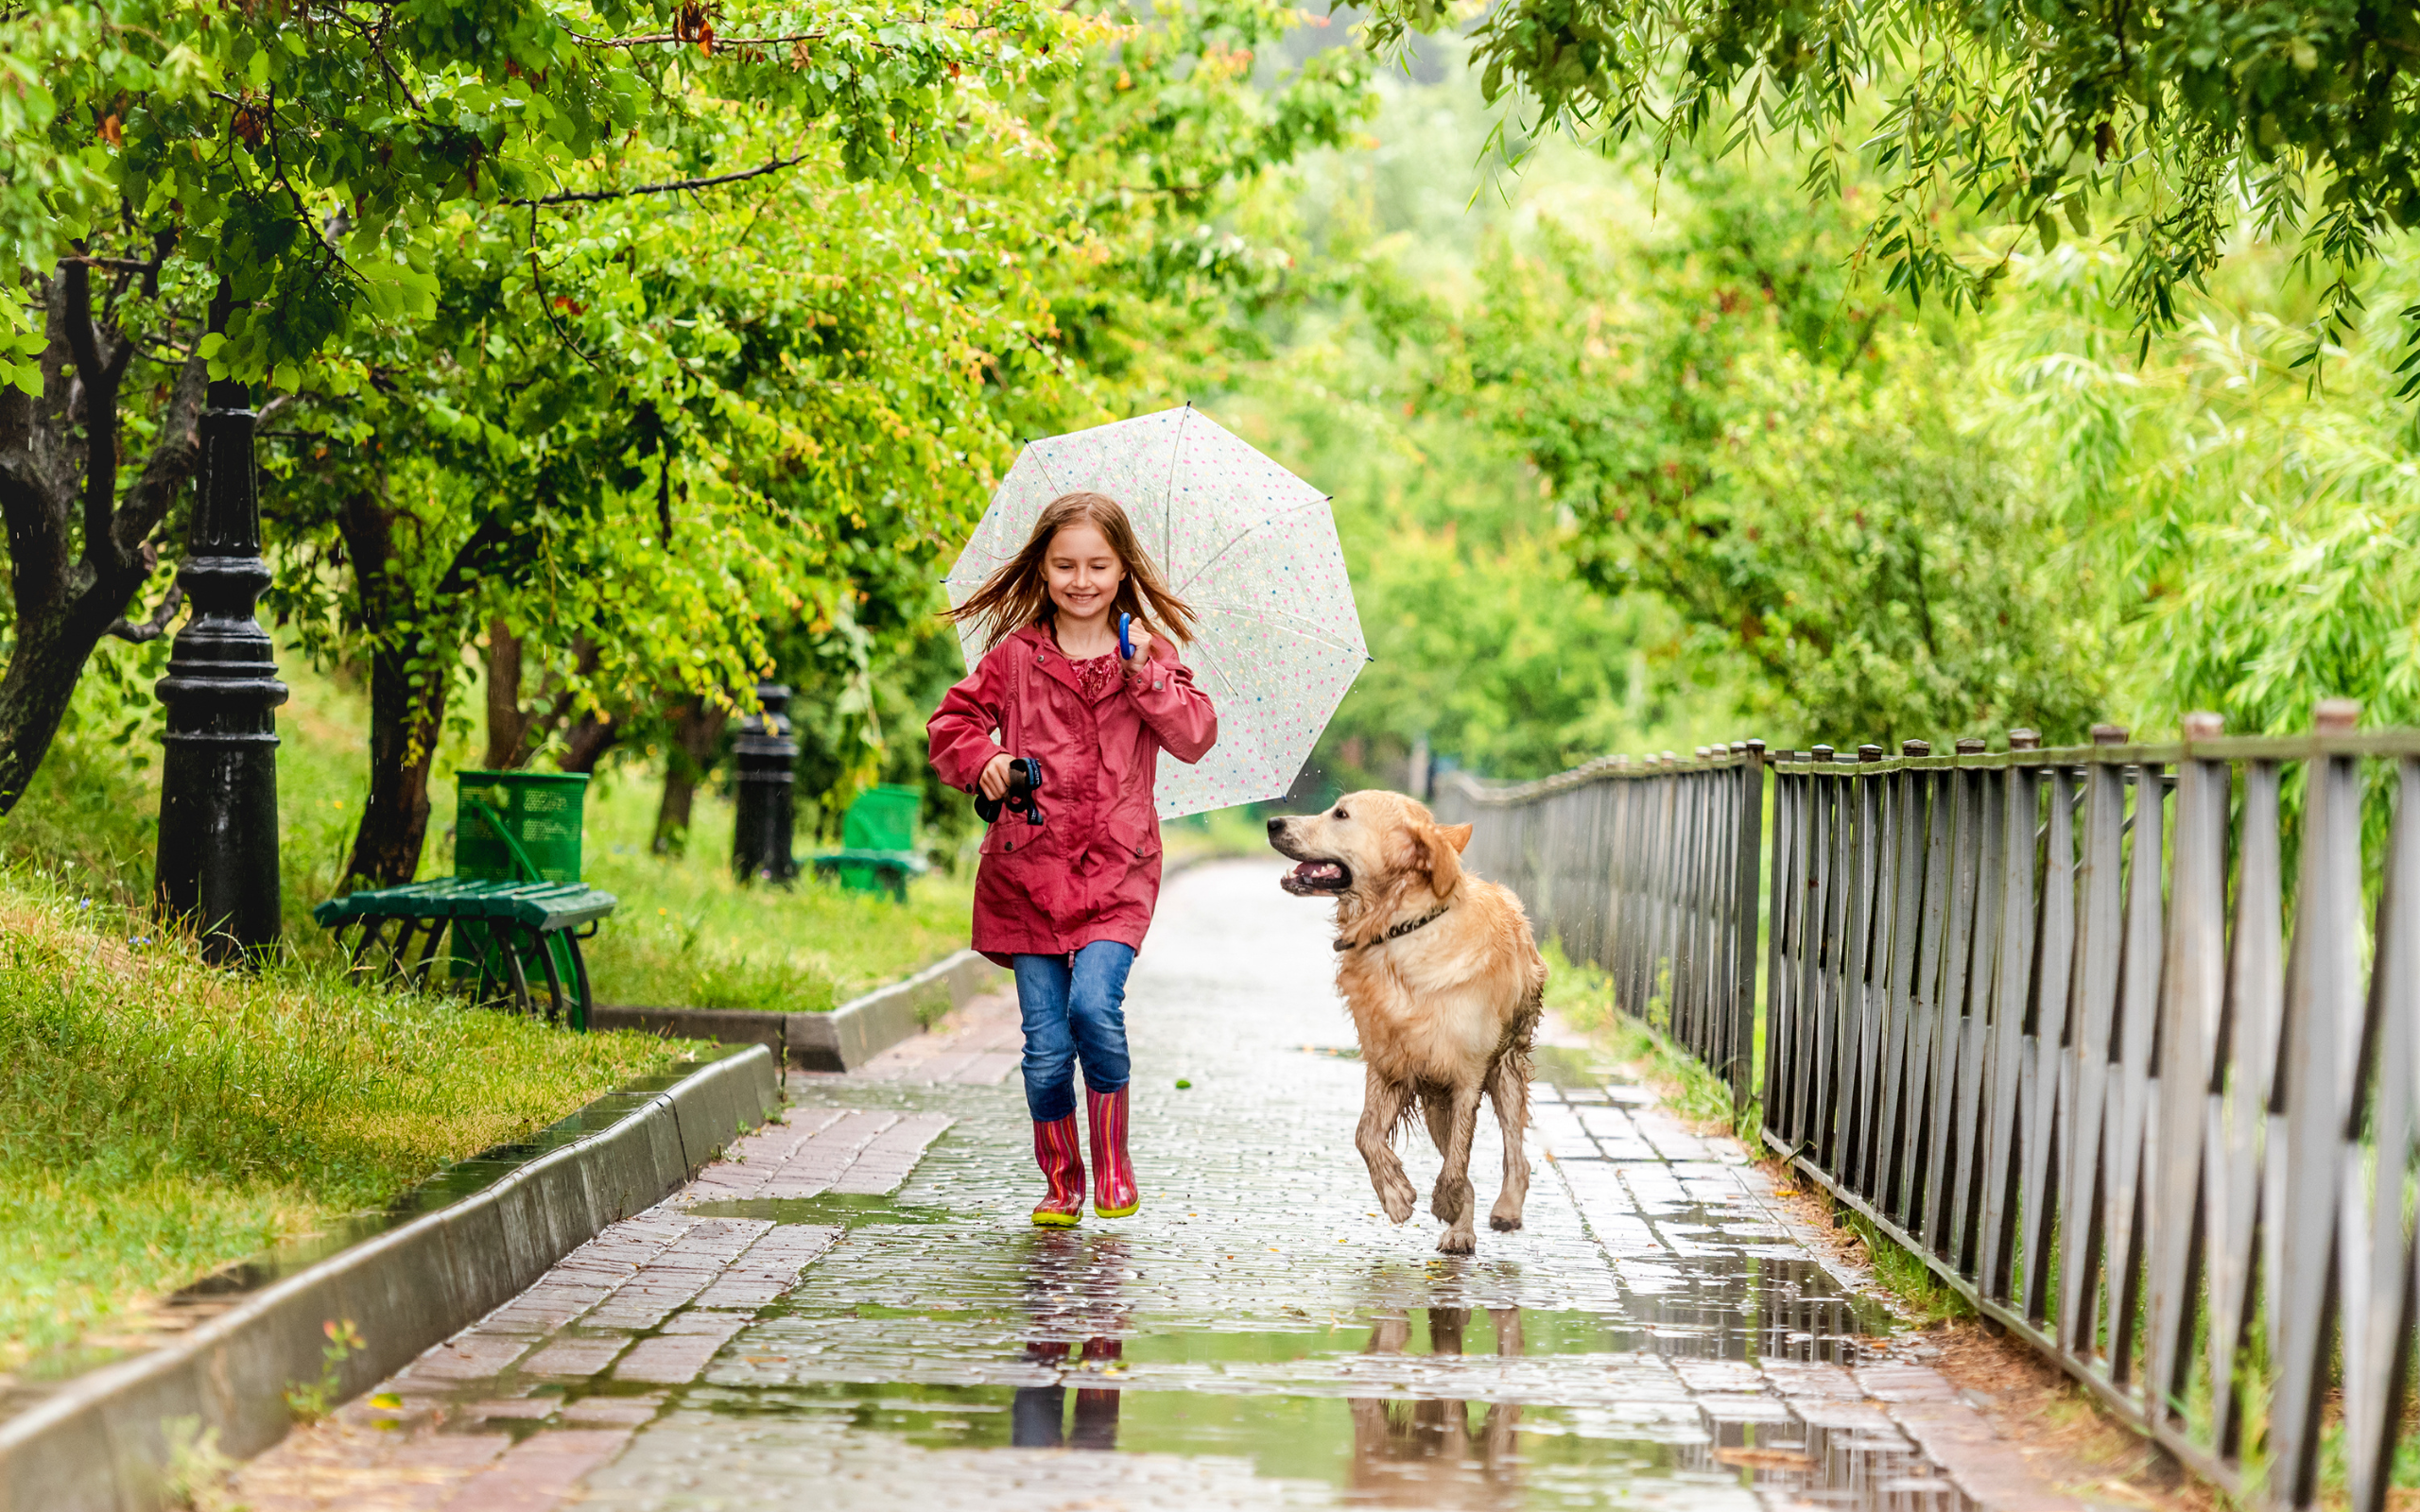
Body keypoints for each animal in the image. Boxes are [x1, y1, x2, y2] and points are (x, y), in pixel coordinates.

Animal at [1268, 788, 1548, 1247]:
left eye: (1341, 814)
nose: (1273, 822)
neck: (1400, 929)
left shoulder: (1466, 1074)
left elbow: (1458, 1160)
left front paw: (1444, 1201)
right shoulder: (1390, 1063)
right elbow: (1365, 1133)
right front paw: (1396, 1195)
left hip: (1505, 1066)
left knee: (1514, 1151)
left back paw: (1503, 1210)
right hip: (1436, 1098)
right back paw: (1462, 1229)